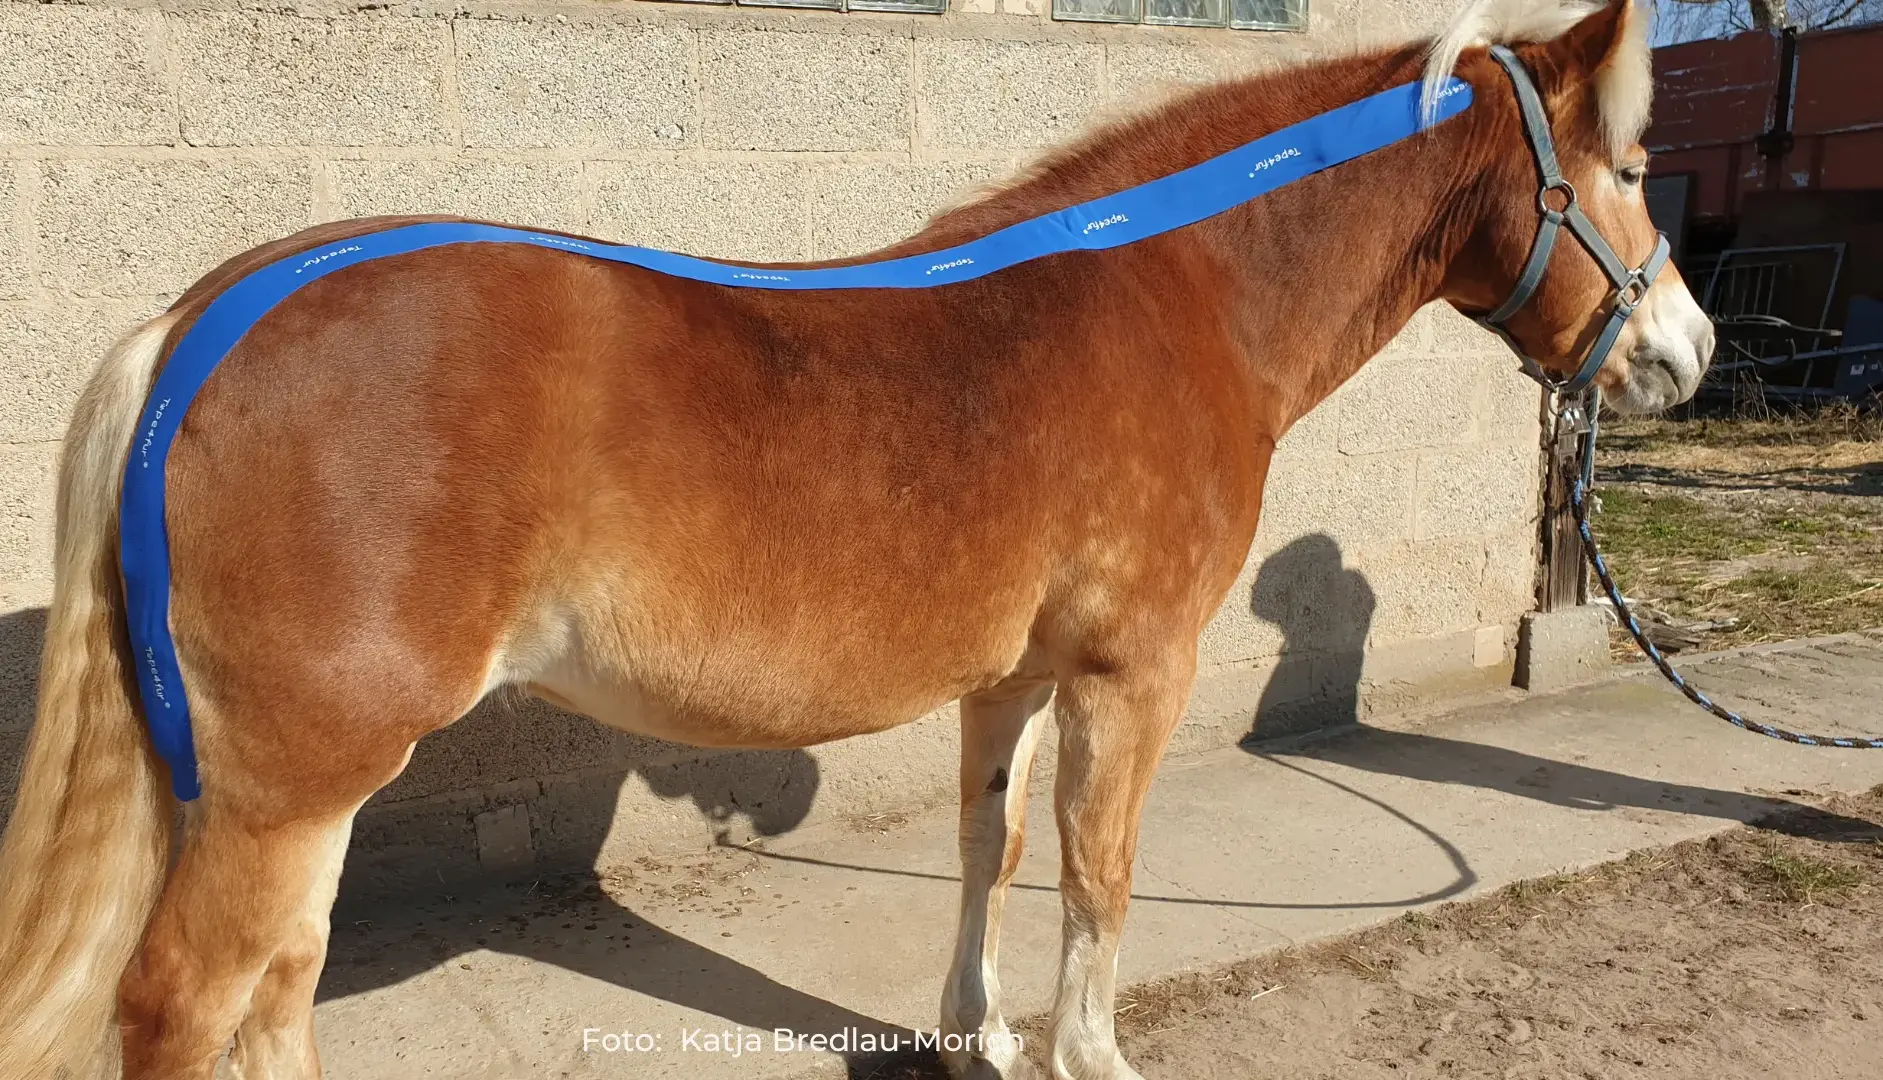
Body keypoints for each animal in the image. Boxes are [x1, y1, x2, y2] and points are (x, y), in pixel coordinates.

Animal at [0, 0, 1712, 1077]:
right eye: (1628, 170)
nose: (1683, 355)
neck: (1175, 299)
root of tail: (198, 324)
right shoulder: (1129, 675)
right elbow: (1098, 870)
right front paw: (1086, 1054)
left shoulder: (1009, 678)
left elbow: (990, 845)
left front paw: (982, 1037)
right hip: (291, 781)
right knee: (185, 1003)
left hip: (295, 789)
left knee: (275, 990)